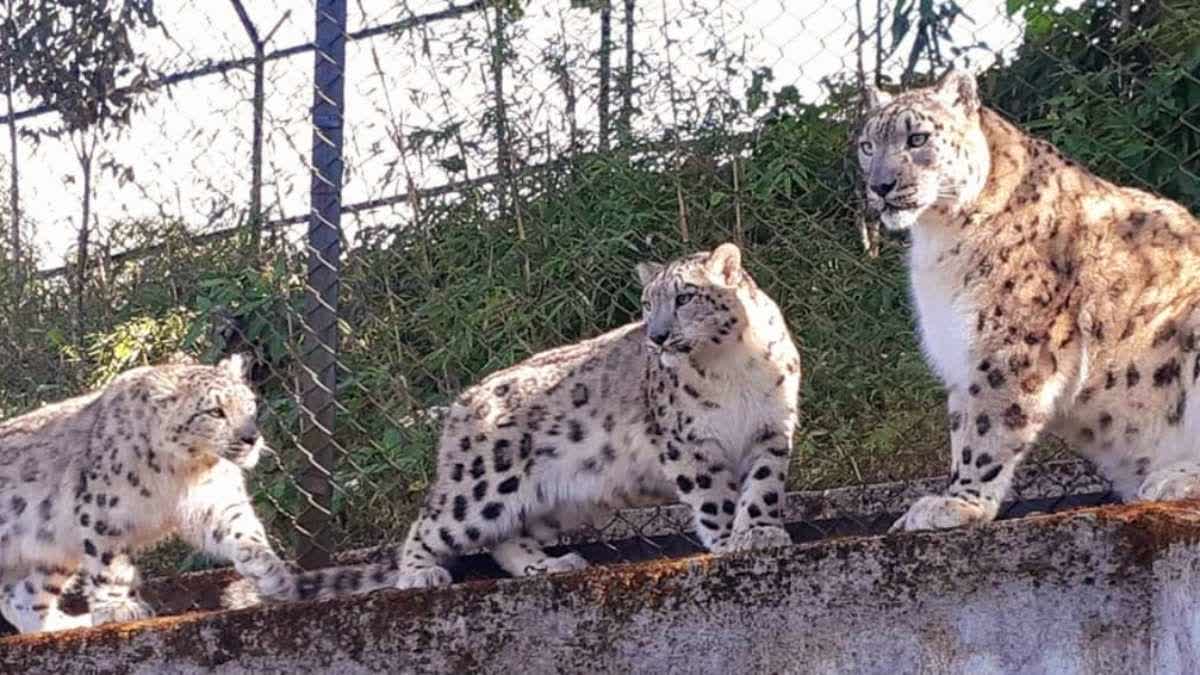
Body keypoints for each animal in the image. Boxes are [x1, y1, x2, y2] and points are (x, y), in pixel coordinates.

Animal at [0, 354, 400, 634]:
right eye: (215, 411)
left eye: (250, 405)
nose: (251, 438)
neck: (185, 472)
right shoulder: (105, 511)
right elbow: (110, 563)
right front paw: (118, 607)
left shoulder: (215, 501)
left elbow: (243, 531)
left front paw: (271, 573)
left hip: (51, 553)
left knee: (22, 596)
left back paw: (63, 625)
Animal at [394, 243, 802, 588]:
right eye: (647, 303)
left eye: (684, 296)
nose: (657, 335)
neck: (733, 366)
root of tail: (464, 398)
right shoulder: (689, 442)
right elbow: (714, 495)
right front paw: (728, 540)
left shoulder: (770, 429)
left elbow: (763, 484)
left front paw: (760, 532)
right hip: (484, 484)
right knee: (430, 523)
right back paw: (419, 574)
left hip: (555, 504)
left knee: (506, 538)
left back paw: (549, 564)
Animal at [856, 70, 1200, 532]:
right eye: (867, 145)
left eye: (917, 138)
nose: (880, 185)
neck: (937, 241)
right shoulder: (962, 351)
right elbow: (963, 425)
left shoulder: (1009, 344)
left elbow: (987, 429)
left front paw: (959, 503)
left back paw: (1172, 479)